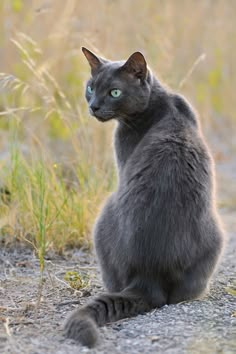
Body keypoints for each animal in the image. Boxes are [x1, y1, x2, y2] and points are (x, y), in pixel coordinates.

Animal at [63, 47, 224, 348]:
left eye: (114, 92)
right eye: (90, 88)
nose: (94, 106)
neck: (160, 103)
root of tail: (147, 276)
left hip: (104, 215)